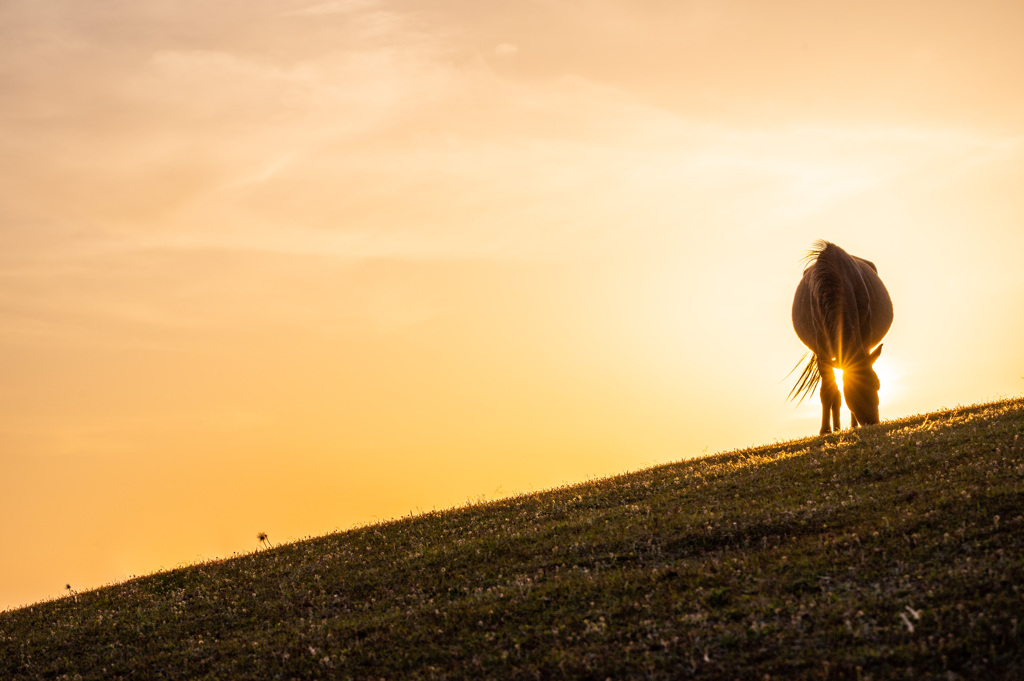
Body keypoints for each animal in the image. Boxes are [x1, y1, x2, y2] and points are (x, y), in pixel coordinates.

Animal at [786, 242, 892, 436]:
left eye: (878, 384)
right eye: (851, 390)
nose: (872, 422)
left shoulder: (864, 335)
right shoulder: (821, 348)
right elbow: (829, 392)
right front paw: (825, 430)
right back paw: (835, 427)